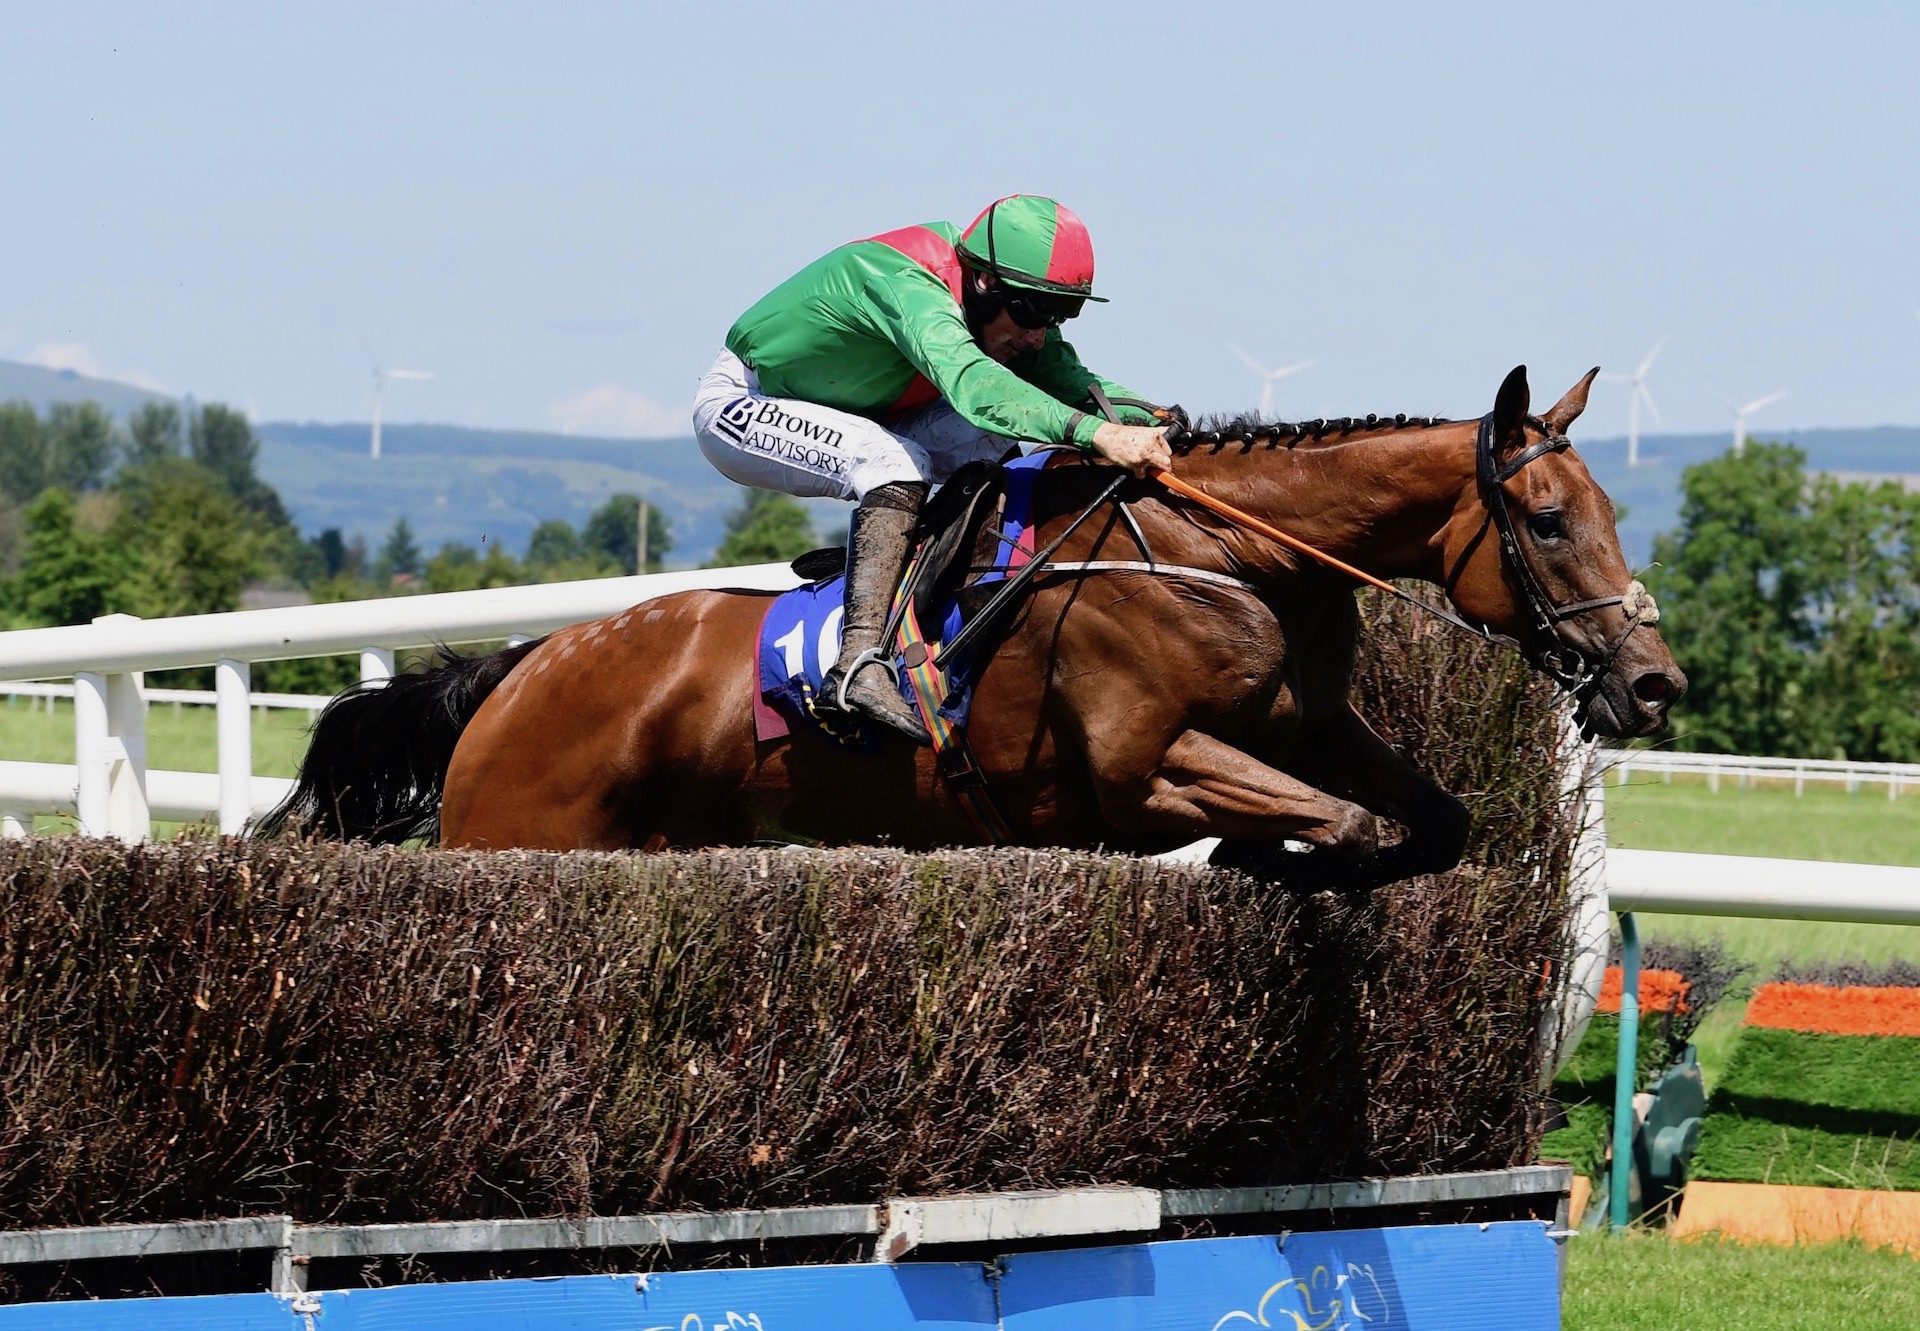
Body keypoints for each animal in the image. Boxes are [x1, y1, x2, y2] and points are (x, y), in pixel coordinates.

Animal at [266, 363, 1681, 887]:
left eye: (1609, 507)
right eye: (1550, 519)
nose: (1652, 681)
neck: (1225, 555)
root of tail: (519, 672)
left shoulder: (1310, 725)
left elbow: (1429, 821)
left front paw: (1285, 859)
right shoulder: (1137, 768)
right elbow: (1335, 821)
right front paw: (1267, 861)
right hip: (521, 830)